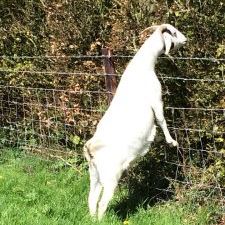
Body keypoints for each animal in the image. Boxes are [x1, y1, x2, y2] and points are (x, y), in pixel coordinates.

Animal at [83, 23, 187, 219]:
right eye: (174, 32)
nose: (186, 40)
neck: (143, 66)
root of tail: (90, 147)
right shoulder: (156, 98)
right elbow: (161, 119)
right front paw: (172, 142)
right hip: (110, 176)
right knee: (102, 202)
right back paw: (102, 220)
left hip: (95, 174)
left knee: (92, 199)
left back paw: (91, 219)